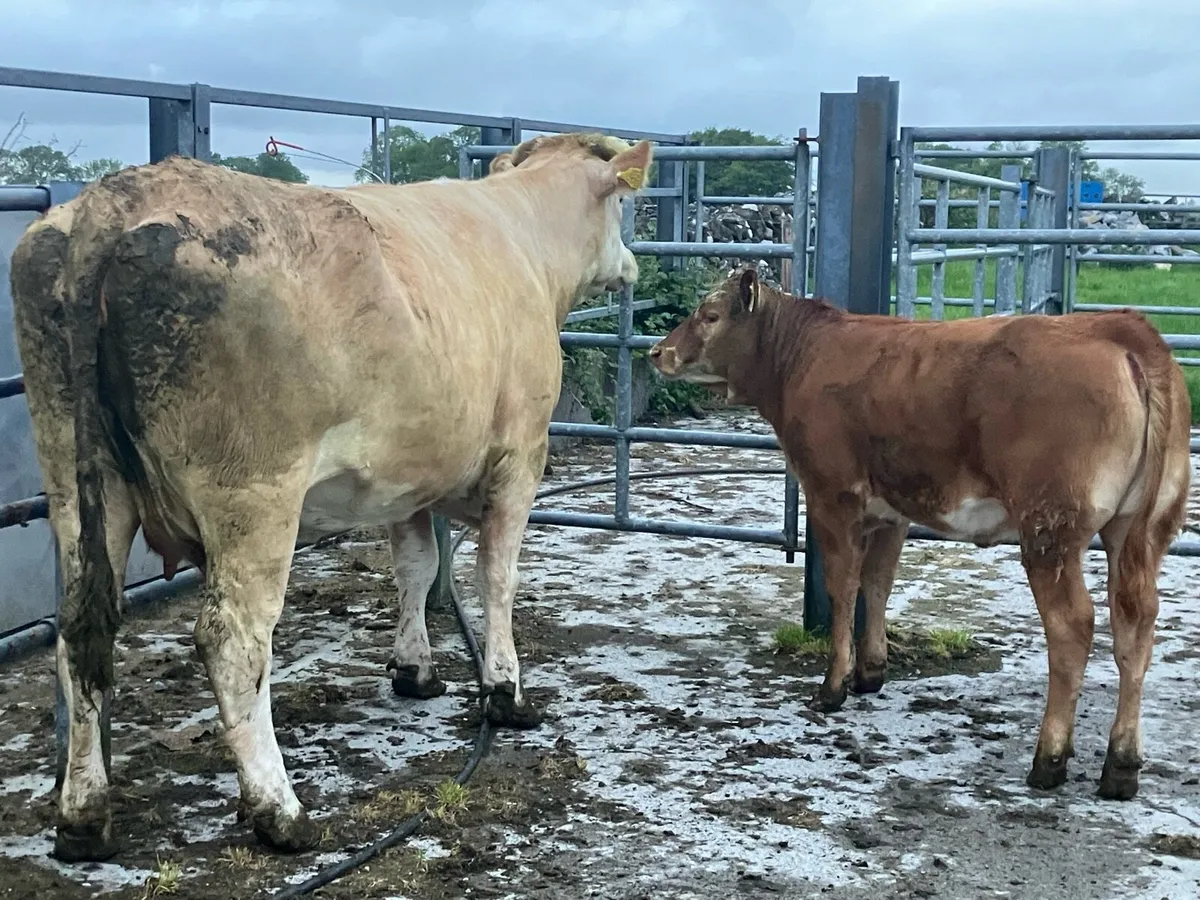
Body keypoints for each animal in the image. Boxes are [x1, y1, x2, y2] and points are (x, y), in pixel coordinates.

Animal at [8, 131, 653, 861]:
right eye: (625, 205)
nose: (632, 266)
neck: (523, 236)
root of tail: (116, 199)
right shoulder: (521, 455)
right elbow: (497, 576)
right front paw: (505, 691)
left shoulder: (408, 477)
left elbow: (415, 568)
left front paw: (414, 671)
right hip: (255, 492)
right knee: (232, 640)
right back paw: (280, 811)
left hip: (77, 480)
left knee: (80, 629)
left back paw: (83, 816)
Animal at [648, 266, 1191, 802]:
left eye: (710, 315)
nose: (658, 352)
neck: (804, 353)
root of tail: (1119, 327)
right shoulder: (892, 512)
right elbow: (877, 584)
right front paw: (870, 672)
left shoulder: (831, 498)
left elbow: (842, 587)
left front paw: (833, 685)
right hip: (1140, 529)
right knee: (1135, 624)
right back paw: (1121, 766)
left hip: (1049, 530)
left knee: (1073, 626)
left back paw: (1049, 759)